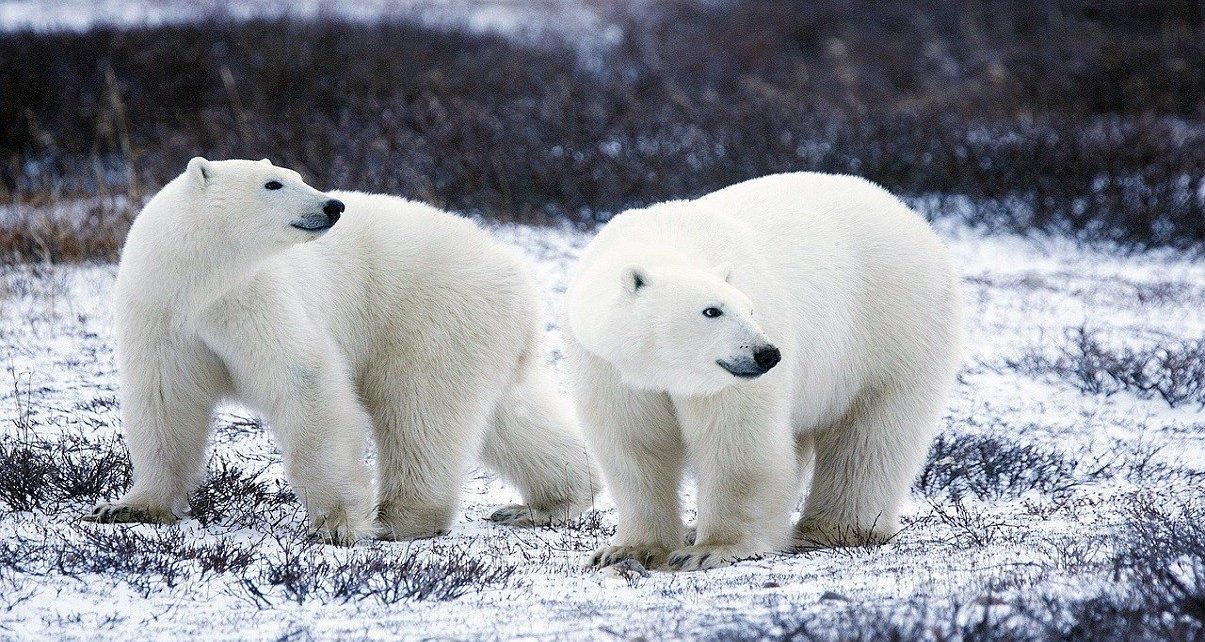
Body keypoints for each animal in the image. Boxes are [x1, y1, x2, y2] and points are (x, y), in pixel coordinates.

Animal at [85, 158, 596, 544]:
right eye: (273, 182)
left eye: (295, 174)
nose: (333, 205)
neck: (198, 281)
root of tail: (520, 277)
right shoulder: (161, 313)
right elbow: (164, 400)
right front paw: (128, 507)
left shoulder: (254, 297)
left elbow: (305, 381)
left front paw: (336, 525)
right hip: (481, 334)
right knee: (509, 417)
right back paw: (547, 503)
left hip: (431, 316)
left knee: (419, 410)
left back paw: (399, 519)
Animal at [564, 172, 962, 571]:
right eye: (712, 310)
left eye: (750, 308)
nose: (767, 354)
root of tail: (910, 216)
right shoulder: (609, 366)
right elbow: (634, 445)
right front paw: (627, 551)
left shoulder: (728, 381)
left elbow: (737, 442)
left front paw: (711, 549)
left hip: (892, 326)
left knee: (871, 435)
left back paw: (831, 529)